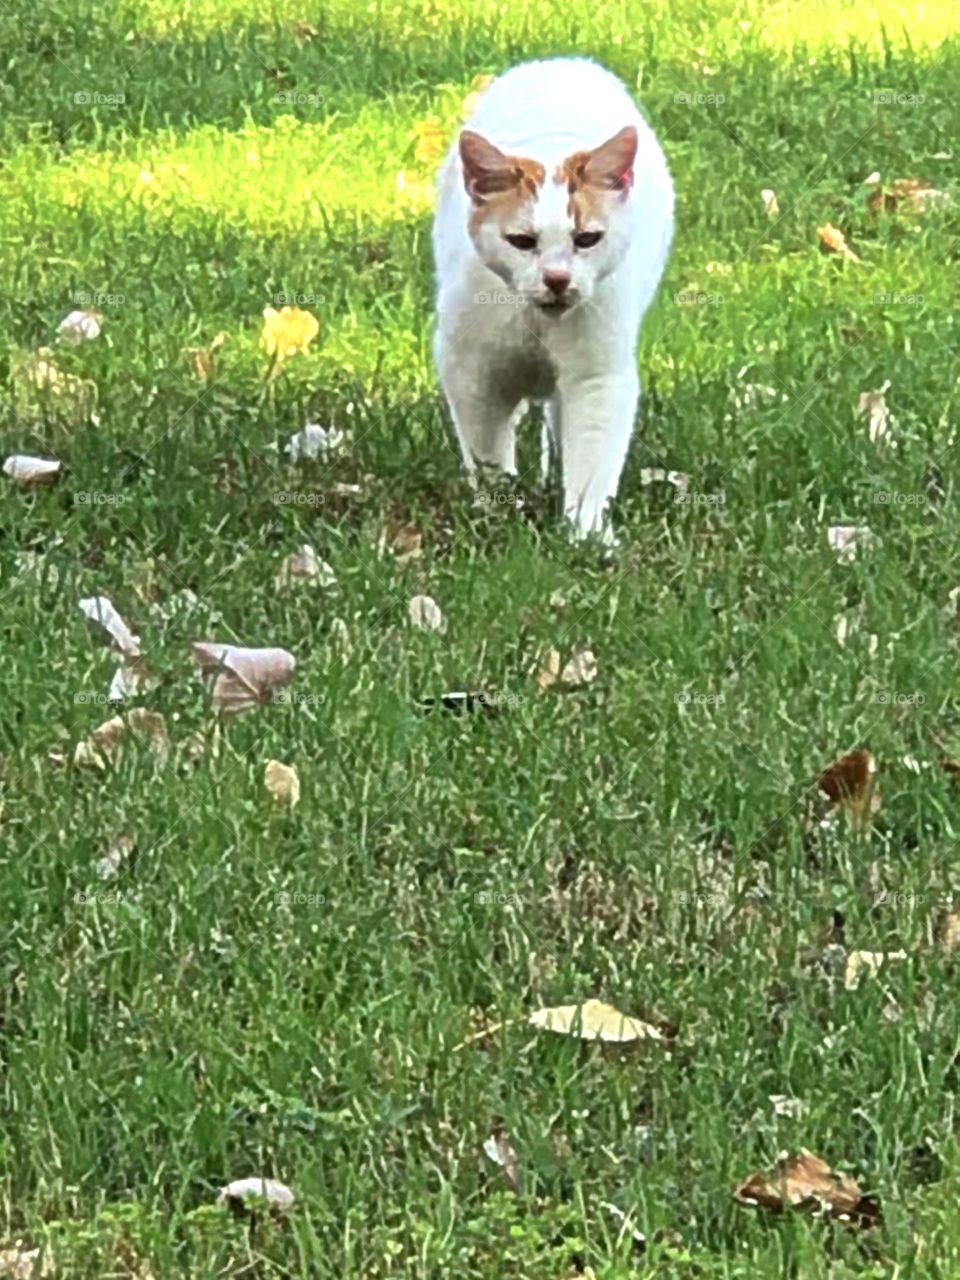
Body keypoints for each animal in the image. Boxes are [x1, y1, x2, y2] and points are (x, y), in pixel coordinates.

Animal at [435, 58, 675, 540]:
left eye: (587, 239)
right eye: (522, 241)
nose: (557, 279)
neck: (535, 324)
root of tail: (564, 62)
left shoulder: (598, 376)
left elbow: (591, 467)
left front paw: (586, 536)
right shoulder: (470, 370)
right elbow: (487, 452)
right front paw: (498, 516)